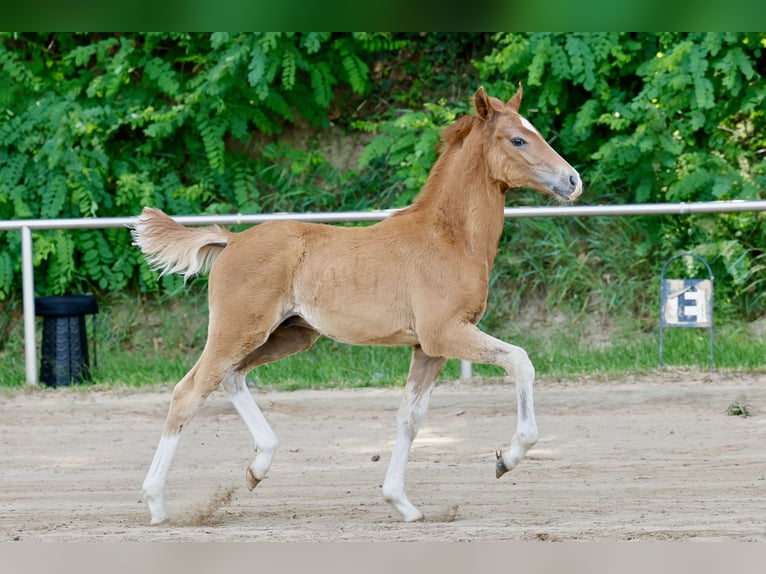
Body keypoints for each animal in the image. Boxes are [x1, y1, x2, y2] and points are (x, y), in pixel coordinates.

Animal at [132, 84, 582, 525]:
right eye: (518, 139)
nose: (573, 180)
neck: (450, 238)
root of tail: (232, 240)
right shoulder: (446, 333)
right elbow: (520, 360)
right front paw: (507, 458)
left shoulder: (428, 348)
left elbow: (410, 418)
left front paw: (401, 503)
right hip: (238, 329)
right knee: (189, 391)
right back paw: (156, 504)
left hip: (288, 336)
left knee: (230, 377)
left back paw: (258, 467)